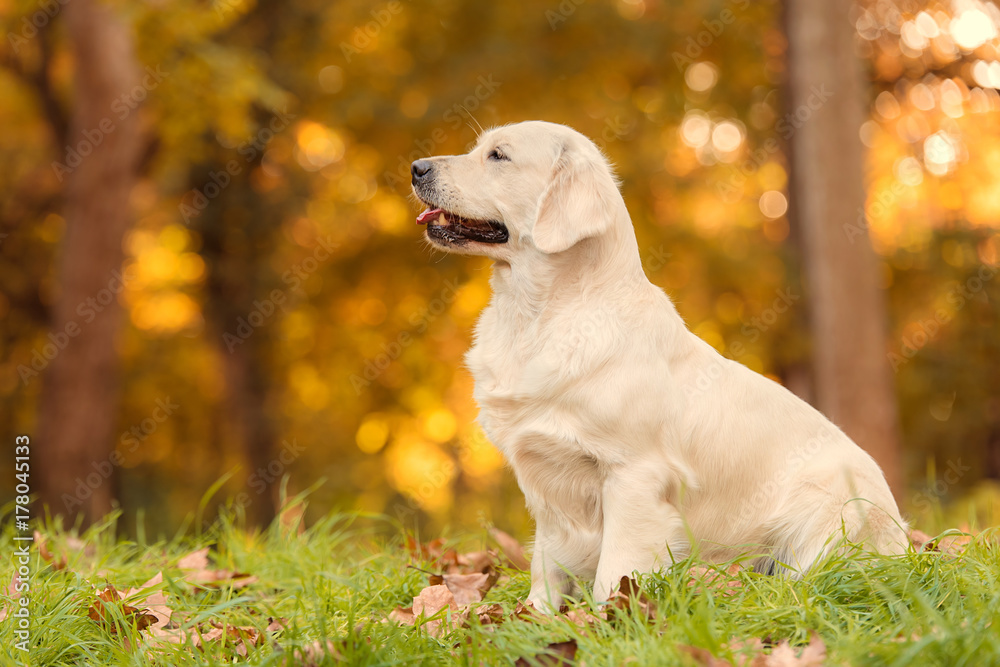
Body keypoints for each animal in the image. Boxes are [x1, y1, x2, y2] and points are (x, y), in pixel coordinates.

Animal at [406, 118, 908, 612]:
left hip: (829, 503)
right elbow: (545, 566)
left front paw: (608, 621)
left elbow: (614, 569)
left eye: (499, 155)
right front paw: (536, 619)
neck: (536, 316)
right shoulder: (547, 484)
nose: (416, 167)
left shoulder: (633, 475)